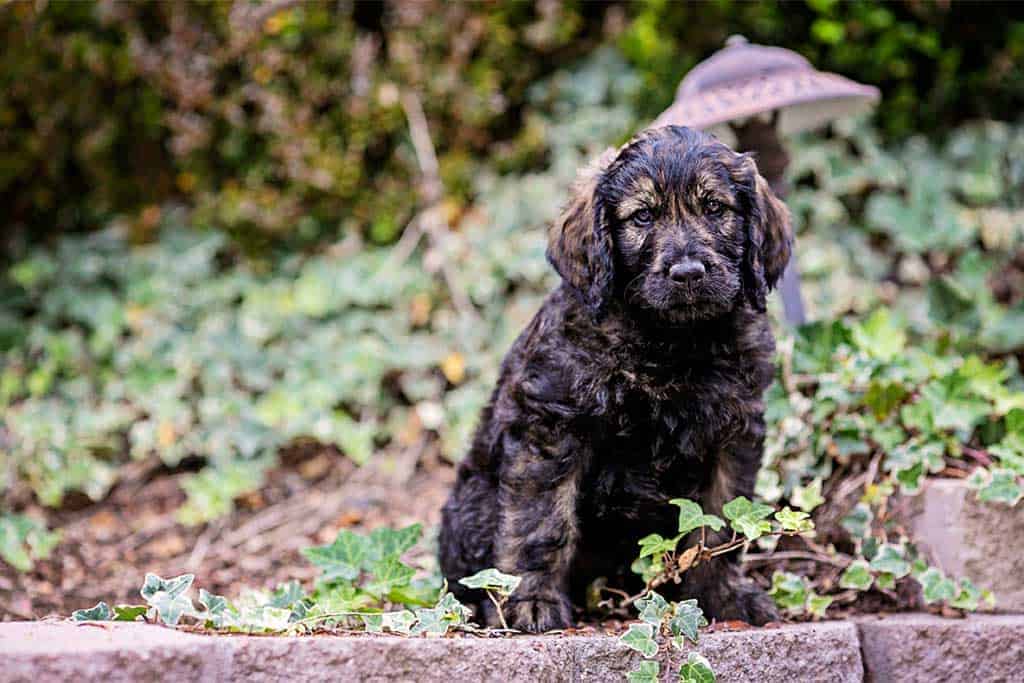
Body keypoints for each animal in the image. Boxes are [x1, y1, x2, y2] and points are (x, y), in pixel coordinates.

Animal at [438, 125, 790, 634]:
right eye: (642, 216)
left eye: (715, 208)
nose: (688, 272)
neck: (670, 343)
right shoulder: (551, 426)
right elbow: (540, 520)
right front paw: (532, 601)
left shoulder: (734, 434)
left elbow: (718, 522)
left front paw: (724, 595)